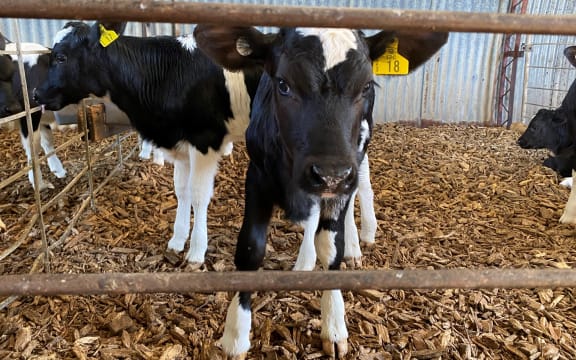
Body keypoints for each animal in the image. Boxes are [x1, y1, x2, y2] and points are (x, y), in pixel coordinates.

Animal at [196, 24, 448, 358]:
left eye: (367, 86)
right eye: (283, 84)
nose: (330, 174)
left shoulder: (345, 173)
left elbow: (331, 246)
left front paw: (334, 326)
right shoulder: (258, 174)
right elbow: (251, 249)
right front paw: (235, 336)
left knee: (357, 194)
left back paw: (354, 244)